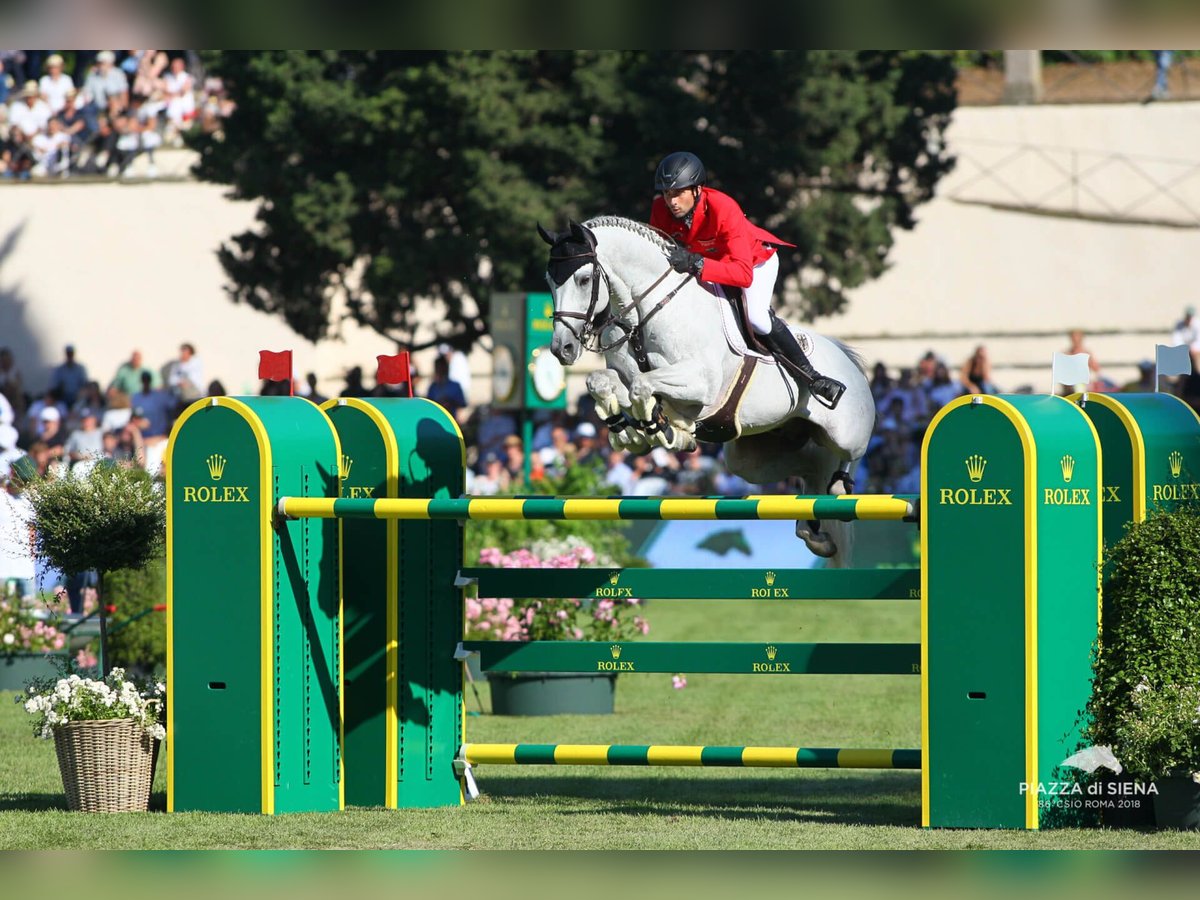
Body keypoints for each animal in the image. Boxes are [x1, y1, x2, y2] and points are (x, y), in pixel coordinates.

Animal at [540, 217, 878, 564]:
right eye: (549, 282)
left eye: (583, 279)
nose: (562, 349)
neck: (643, 313)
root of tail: (847, 357)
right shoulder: (625, 374)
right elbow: (603, 382)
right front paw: (629, 432)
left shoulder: (700, 384)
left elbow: (642, 386)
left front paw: (663, 430)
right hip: (753, 457)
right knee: (809, 467)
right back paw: (814, 533)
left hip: (845, 432)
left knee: (847, 458)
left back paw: (837, 478)